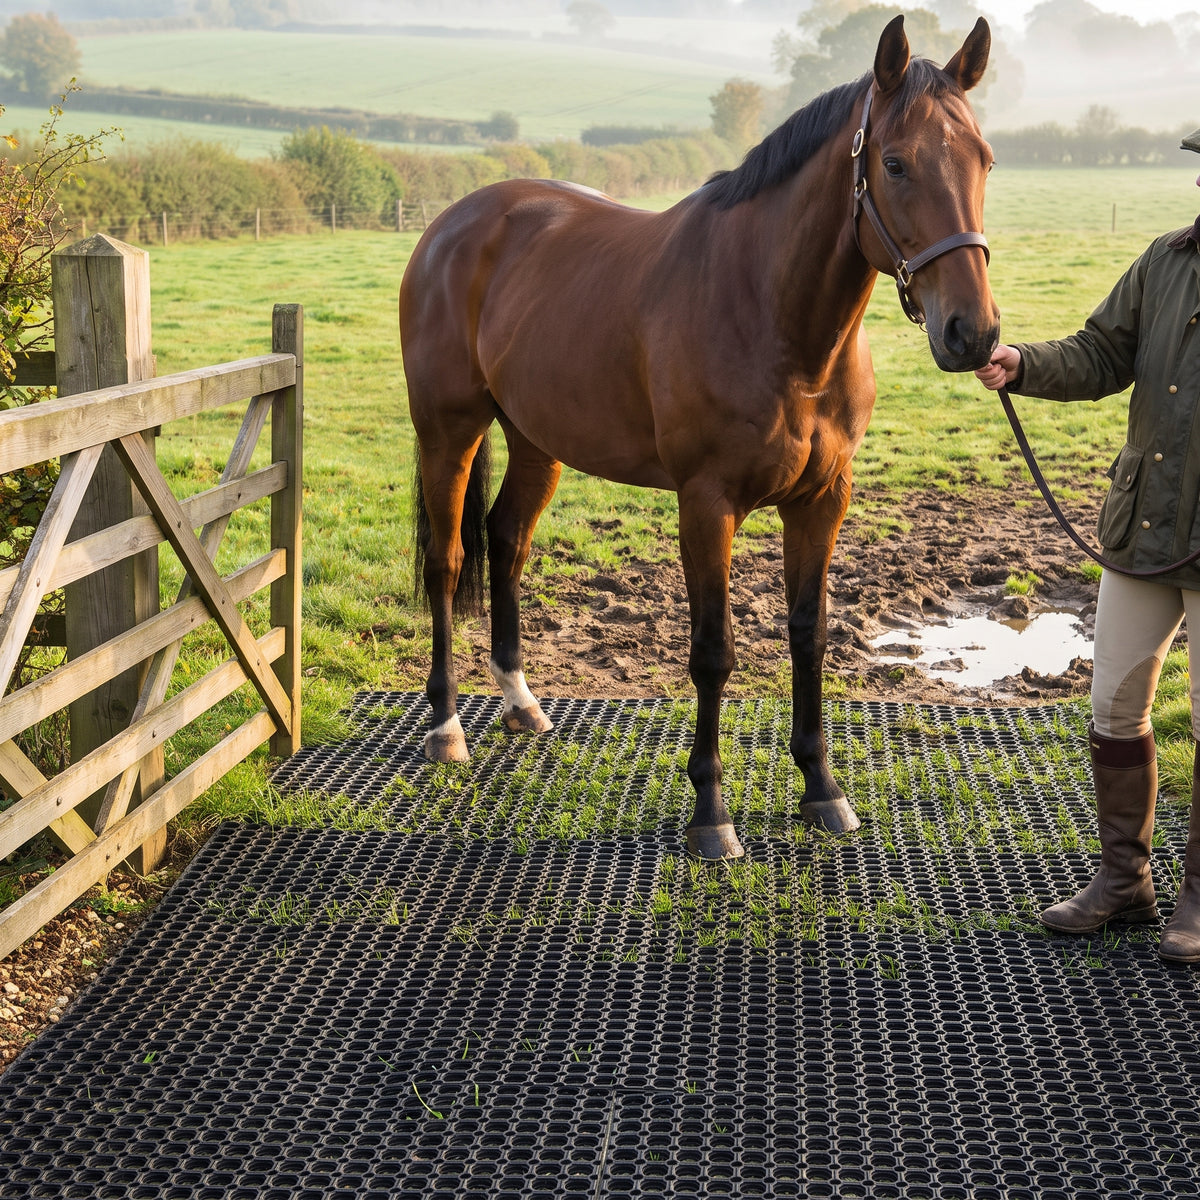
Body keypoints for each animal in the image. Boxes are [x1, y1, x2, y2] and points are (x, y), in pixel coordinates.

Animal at [399, 15, 1000, 860]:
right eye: (895, 162)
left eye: (983, 158)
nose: (972, 333)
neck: (774, 318)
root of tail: (454, 222)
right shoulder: (706, 503)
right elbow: (714, 652)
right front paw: (711, 814)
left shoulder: (823, 500)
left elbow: (809, 634)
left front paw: (822, 790)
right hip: (447, 431)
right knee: (450, 560)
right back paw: (447, 726)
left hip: (537, 441)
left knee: (507, 540)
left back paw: (520, 702)